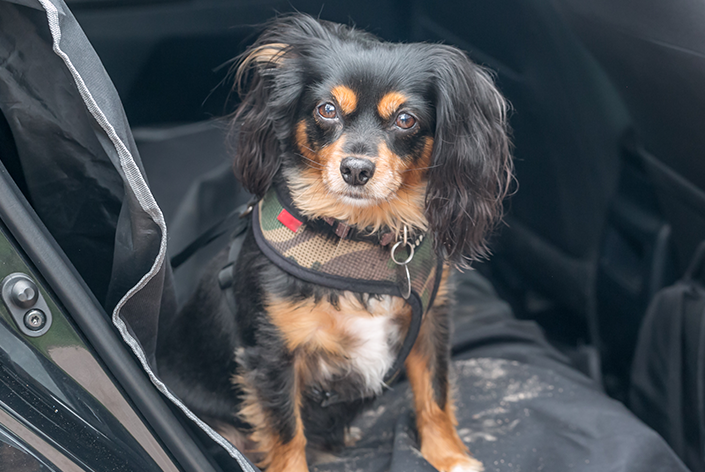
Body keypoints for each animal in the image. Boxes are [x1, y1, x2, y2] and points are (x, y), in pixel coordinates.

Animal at [158, 12, 512, 472]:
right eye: (326, 110)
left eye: (406, 120)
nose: (356, 169)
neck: (357, 238)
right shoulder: (274, 355)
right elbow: (287, 435)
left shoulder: (431, 323)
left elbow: (435, 394)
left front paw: (451, 457)